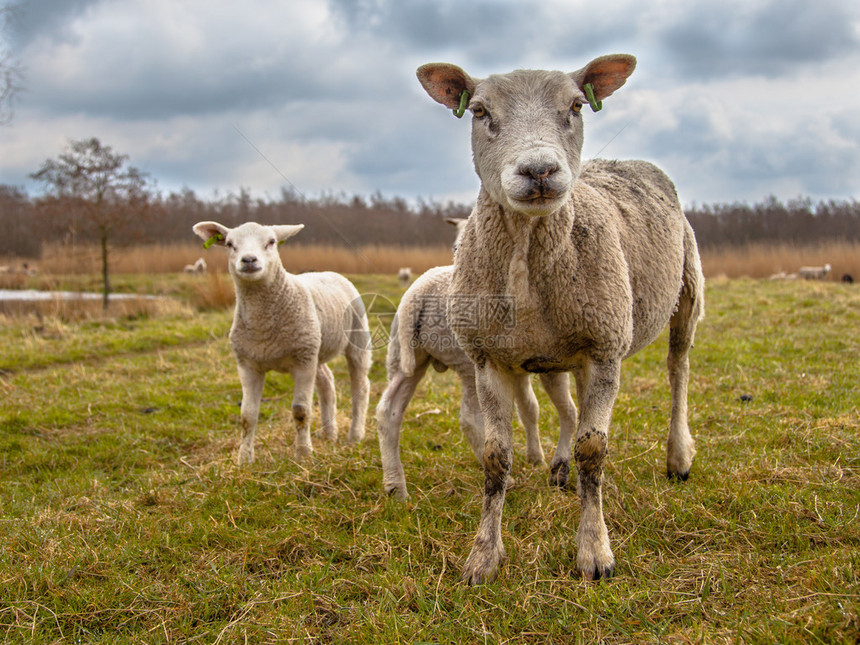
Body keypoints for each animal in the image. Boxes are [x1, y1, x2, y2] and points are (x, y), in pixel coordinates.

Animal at [193, 221, 372, 462]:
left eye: (271, 242)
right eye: (230, 244)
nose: (249, 260)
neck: (263, 327)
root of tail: (330, 272)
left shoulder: (303, 363)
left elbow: (301, 411)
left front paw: (304, 454)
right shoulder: (248, 364)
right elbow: (247, 415)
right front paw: (244, 459)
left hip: (356, 338)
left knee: (360, 386)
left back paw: (355, 435)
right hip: (314, 347)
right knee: (327, 382)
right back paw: (329, 433)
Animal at [416, 55, 704, 584]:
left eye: (575, 106)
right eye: (480, 110)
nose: (540, 169)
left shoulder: (606, 350)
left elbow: (596, 450)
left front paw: (594, 552)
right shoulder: (488, 360)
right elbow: (496, 458)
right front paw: (483, 557)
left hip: (685, 294)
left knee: (679, 372)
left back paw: (678, 456)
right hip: (564, 353)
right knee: (571, 410)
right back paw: (560, 467)